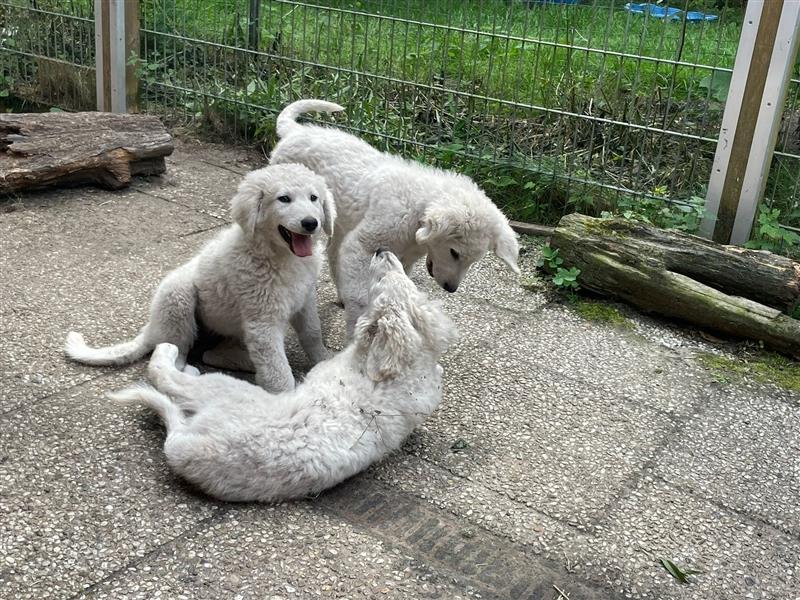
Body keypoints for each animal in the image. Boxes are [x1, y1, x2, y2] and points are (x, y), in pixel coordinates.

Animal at [64, 163, 334, 394]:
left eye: (314, 198)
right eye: (284, 199)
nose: (311, 223)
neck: (282, 256)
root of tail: (152, 328)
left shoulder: (305, 299)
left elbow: (312, 332)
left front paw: (325, 360)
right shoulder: (263, 321)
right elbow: (276, 367)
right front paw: (286, 396)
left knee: (212, 354)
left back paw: (244, 362)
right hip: (178, 300)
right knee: (176, 353)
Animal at [108, 251, 456, 504]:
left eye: (381, 282)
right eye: (397, 279)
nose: (383, 251)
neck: (405, 367)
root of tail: (182, 445)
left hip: (222, 389)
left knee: (165, 374)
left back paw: (173, 355)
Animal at [268, 98, 520, 338]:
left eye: (473, 261)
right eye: (454, 253)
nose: (451, 289)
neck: (418, 209)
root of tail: (295, 131)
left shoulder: (403, 259)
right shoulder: (361, 245)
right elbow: (360, 295)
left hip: (341, 220)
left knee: (333, 252)